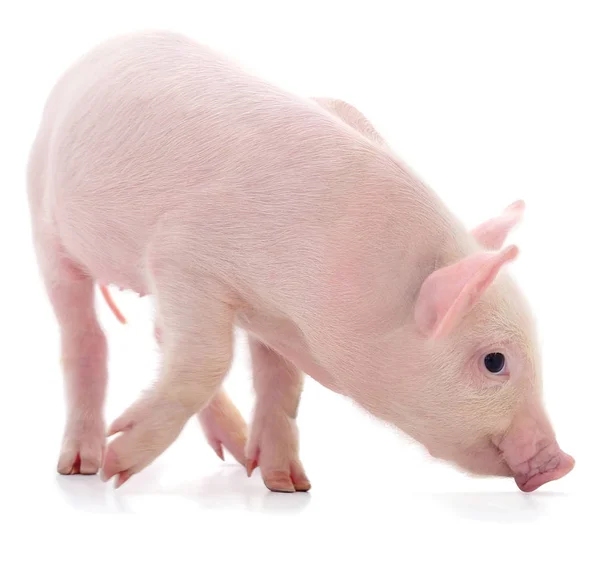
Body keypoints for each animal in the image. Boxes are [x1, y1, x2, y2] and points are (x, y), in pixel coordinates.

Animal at [25, 31, 576, 490]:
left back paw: (236, 455)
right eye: (495, 361)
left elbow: (281, 383)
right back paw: (82, 466)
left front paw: (288, 485)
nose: (563, 463)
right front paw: (118, 468)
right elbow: (209, 361)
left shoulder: (268, 316)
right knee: (84, 335)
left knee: (162, 335)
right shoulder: (180, 256)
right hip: (43, 221)